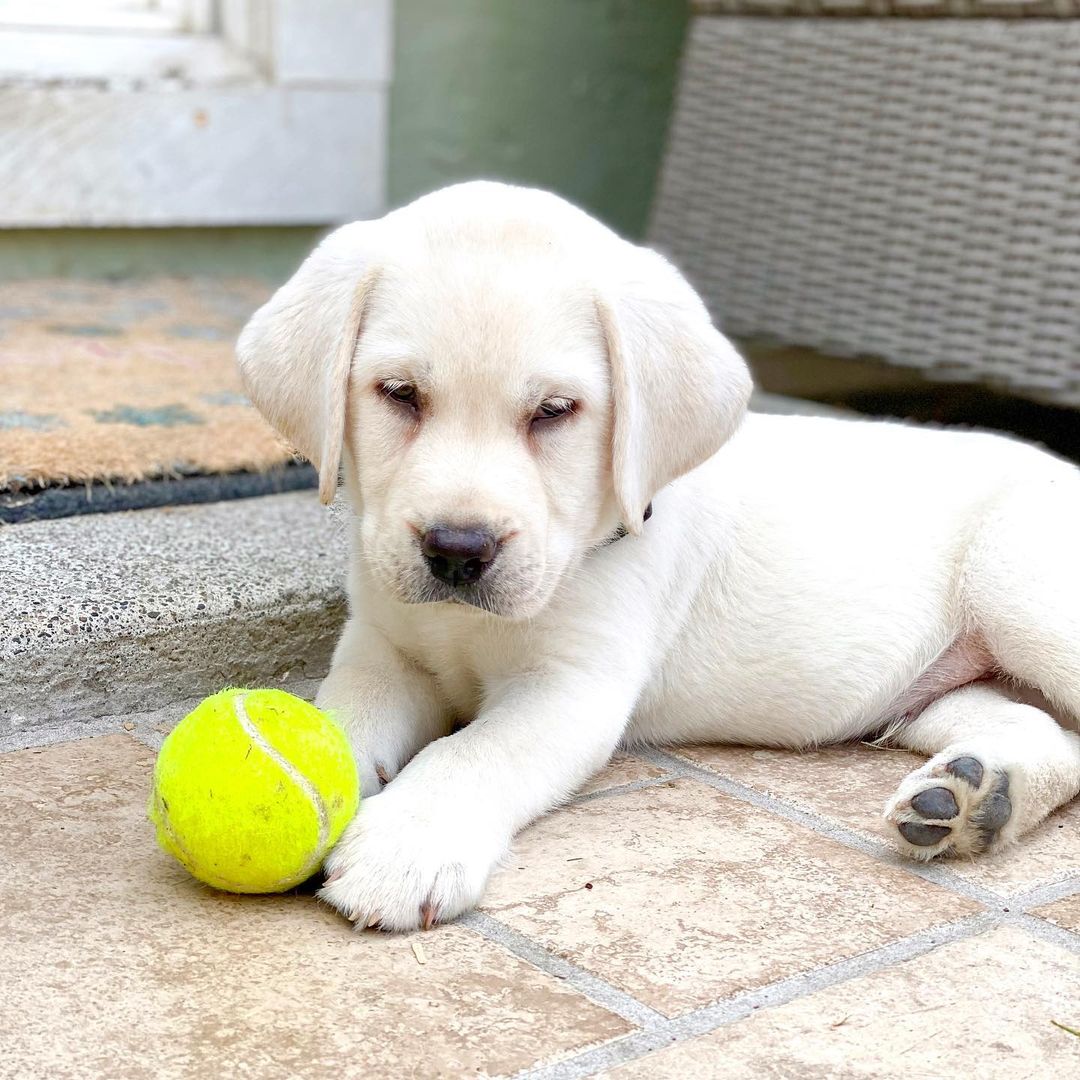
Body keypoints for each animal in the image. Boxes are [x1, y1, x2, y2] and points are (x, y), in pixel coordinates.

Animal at [236, 179, 1080, 928]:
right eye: (399, 393)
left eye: (555, 411)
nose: (456, 552)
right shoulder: (382, 649)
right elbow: (338, 718)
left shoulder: (572, 688)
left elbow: (473, 753)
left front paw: (405, 847)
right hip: (939, 693)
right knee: (1053, 737)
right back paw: (973, 798)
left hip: (1020, 584)